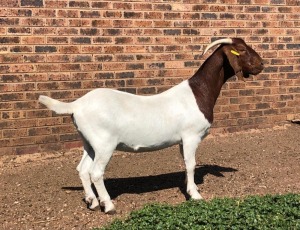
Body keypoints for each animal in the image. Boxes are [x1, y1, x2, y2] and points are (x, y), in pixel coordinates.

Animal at [38, 37, 264, 214]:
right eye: (242, 49)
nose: (261, 64)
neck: (198, 93)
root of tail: (76, 105)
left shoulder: (182, 140)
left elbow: (185, 164)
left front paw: (187, 187)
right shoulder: (191, 136)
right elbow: (191, 164)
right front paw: (195, 194)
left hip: (89, 142)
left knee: (83, 169)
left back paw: (92, 201)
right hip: (104, 143)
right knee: (96, 172)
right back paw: (108, 205)